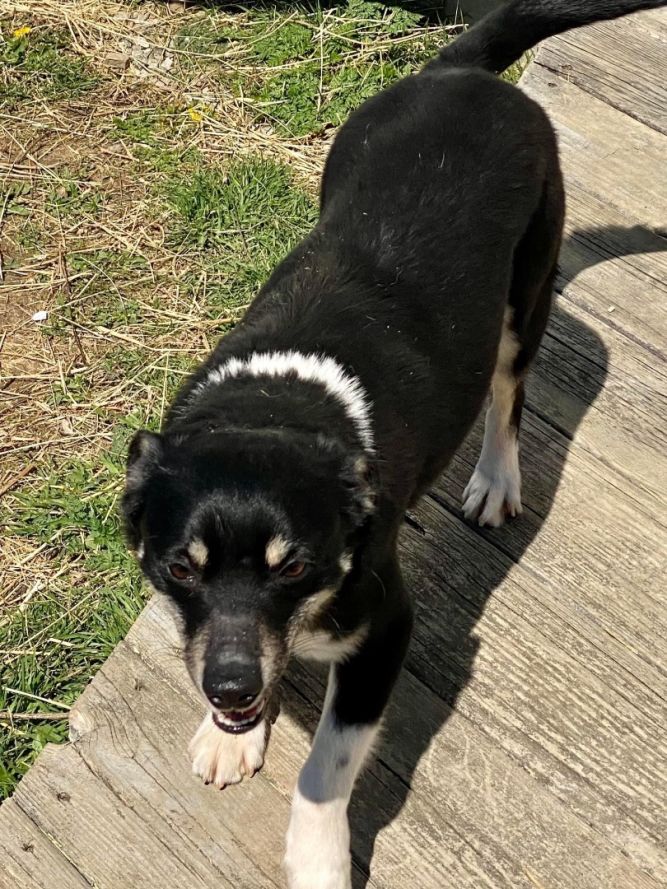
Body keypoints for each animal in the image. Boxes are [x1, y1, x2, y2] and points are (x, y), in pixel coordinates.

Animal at [122, 3, 664, 884]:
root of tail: (462, 67)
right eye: (178, 569)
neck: (277, 401)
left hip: (525, 294)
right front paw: (227, 735)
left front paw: (317, 862)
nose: (230, 693)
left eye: (295, 567)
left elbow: (322, 772)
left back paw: (495, 480)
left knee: (508, 396)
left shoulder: (383, 632)